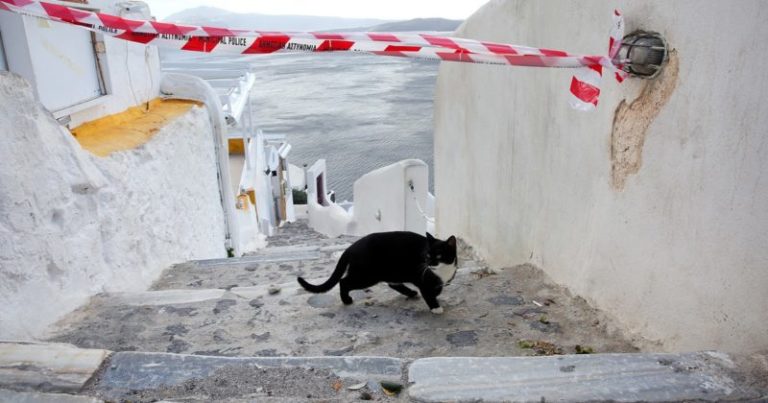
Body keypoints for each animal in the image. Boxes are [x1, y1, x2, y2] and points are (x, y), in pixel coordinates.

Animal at [296, 232, 456, 314]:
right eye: (427, 256)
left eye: (439, 256)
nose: (429, 263)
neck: (442, 271)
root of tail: (351, 247)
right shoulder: (422, 278)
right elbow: (428, 293)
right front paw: (436, 307)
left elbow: (437, 289)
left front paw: (436, 295)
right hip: (367, 276)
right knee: (344, 281)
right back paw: (346, 300)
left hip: (392, 271)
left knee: (393, 284)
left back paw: (411, 293)